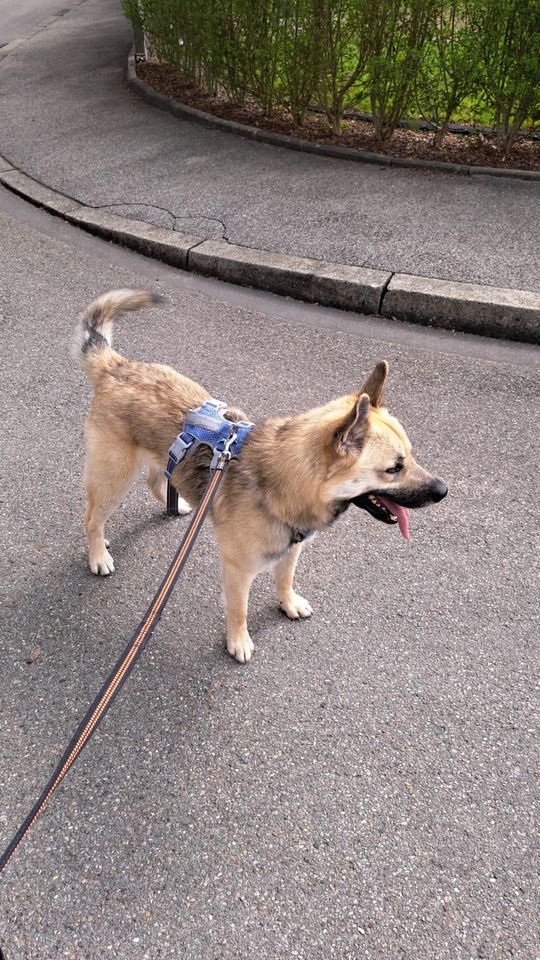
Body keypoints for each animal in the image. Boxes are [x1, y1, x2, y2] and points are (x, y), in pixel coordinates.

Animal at [76, 288, 448, 660]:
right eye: (394, 468)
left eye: (410, 456)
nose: (443, 491)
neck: (285, 483)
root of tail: (116, 367)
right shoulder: (239, 571)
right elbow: (238, 609)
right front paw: (238, 640)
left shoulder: (291, 549)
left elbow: (284, 579)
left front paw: (288, 603)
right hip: (114, 477)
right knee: (93, 517)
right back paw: (98, 554)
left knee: (156, 480)